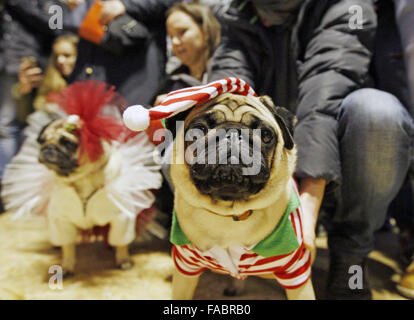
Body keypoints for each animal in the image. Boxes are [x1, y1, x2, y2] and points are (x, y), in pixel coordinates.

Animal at [170, 92, 316, 300]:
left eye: (266, 135)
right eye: (198, 131)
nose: (232, 132)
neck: (230, 214)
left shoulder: (296, 271)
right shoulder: (185, 266)